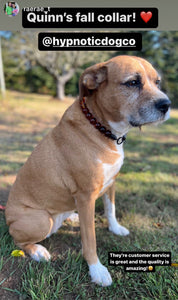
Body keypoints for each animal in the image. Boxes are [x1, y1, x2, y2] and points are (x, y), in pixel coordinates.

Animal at [4, 55, 170, 286]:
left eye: (157, 82)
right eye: (132, 82)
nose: (167, 105)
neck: (103, 129)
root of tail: (7, 217)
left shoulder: (111, 182)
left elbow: (111, 210)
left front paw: (116, 228)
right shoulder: (86, 195)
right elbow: (90, 239)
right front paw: (96, 269)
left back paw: (71, 217)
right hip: (40, 220)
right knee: (18, 241)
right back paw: (37, 250)